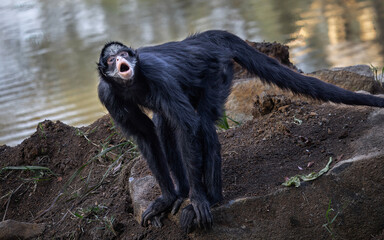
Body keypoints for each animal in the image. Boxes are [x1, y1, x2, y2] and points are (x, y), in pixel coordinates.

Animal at [97, 29, 384, 231]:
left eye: (125, 55)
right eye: (111, 59)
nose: (121, 59)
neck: (132, 82)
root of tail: (203, 39)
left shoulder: (157, 75)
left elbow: (188, 126)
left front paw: (198, 199)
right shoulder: (107, 93)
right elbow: (146, 135)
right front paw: (168, 198)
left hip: (217, 70)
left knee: (200, 124)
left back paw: (211, 198)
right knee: (164, 123)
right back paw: (181, 194)